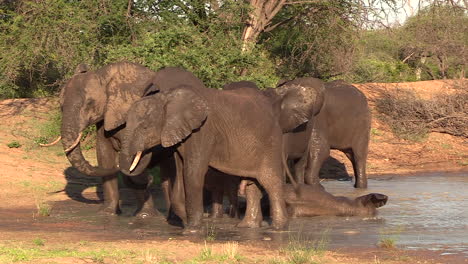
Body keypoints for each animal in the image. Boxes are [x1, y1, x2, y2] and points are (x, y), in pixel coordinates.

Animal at [118, 75, 308, 230]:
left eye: (144, 127)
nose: (150, 178)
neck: (167, 98)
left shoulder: (203, 131)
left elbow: (193, 172)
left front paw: (192, 230)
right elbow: (179, 173)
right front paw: (188, 223)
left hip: (271, 143)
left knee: (271, 181)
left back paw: (278, 228)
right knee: (253, 184)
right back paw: (247, 227)